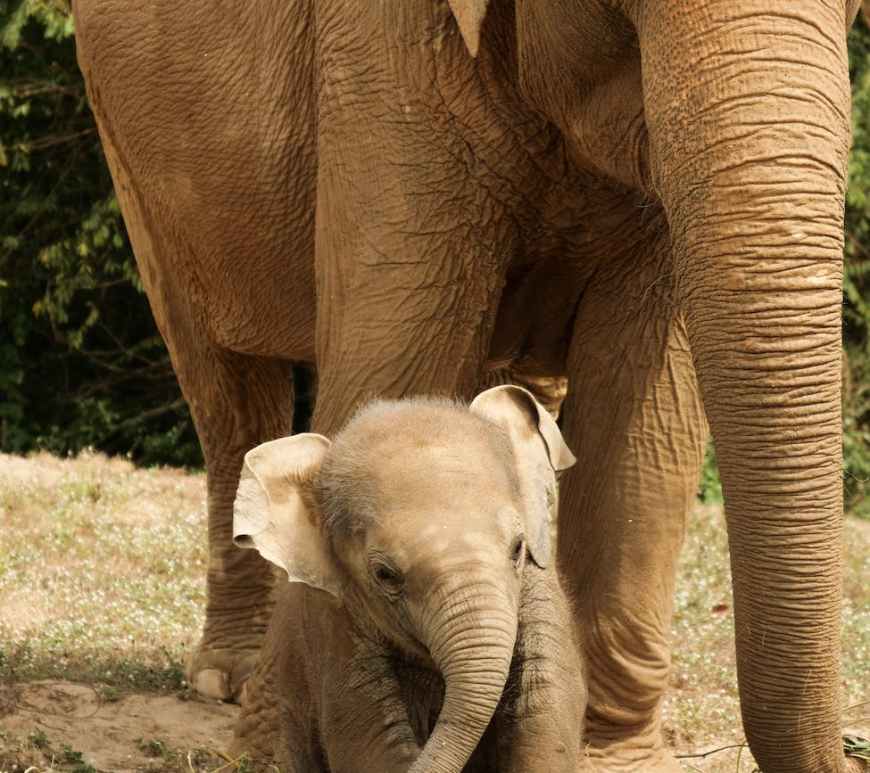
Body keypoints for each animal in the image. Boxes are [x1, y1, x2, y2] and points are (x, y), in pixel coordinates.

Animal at [229, 386, 586, 772]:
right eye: (384, 575)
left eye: (518, 548)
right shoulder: (333, 620)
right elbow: (370, 738)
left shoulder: (541, 587)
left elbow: (547, 708)